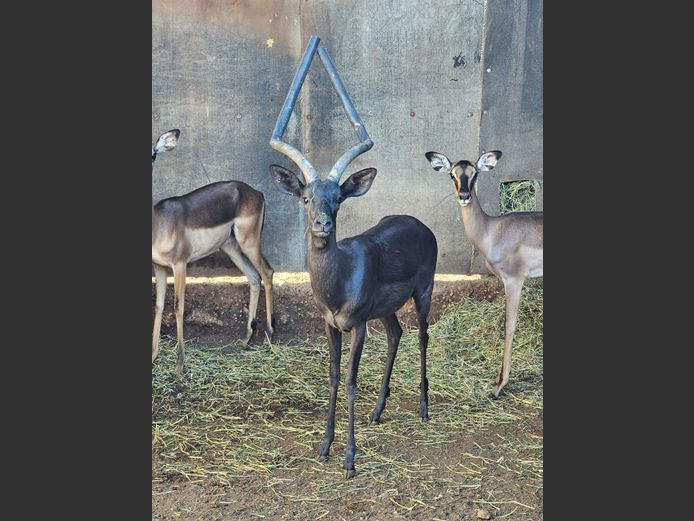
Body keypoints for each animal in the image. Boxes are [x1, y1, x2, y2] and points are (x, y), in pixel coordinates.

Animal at [152, 129, 275, 371]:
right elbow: (159, 306)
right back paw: (246, 339)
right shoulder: (159, 267)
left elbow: (178, 307)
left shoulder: (180, 265)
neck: (159, 222)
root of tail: (256, 193)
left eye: (152, 154)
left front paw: (179, 364)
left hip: (249, 242)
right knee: (254, 278)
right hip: (231, 247)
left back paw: (270, 335)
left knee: (267, 273)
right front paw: (153, 357)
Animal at [269, 38, 437, 479]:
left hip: (424, 292)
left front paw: (349, 460)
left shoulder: (357, 325)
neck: (339, 280)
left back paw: (424, 408)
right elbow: (330, 377)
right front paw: (325, 447)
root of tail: (417, 221)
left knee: (423, 336)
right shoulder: (330, 325)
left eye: (338, 198)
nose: (323, 224)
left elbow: (349, 380)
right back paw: (377, 413)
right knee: (397, 334)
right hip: (388, 310)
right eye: (306, 197)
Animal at [425, 150, 543, 398]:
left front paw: (499, 385)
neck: (492, 231)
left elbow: (509, 326)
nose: (464, 196)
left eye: (475, 174)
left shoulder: (514, 281)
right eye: (452, 174)